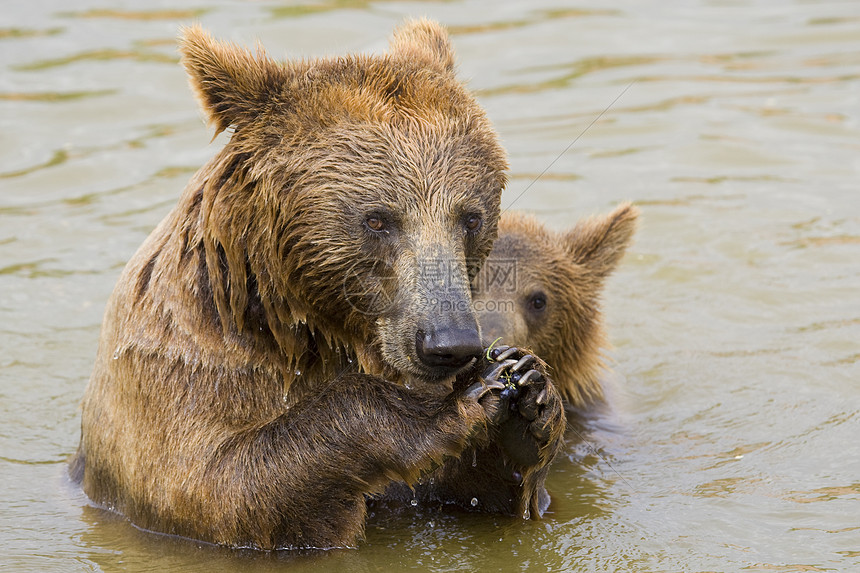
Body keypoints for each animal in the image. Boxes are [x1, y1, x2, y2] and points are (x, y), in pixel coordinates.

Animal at [72, 21, 564, 548]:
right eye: (377, 219)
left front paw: (527, 395)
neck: (302, 326)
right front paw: (454, 406)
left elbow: (470, 496)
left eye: (470, 217)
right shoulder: (179, 377)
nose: (449, 343)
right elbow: (220, 484)